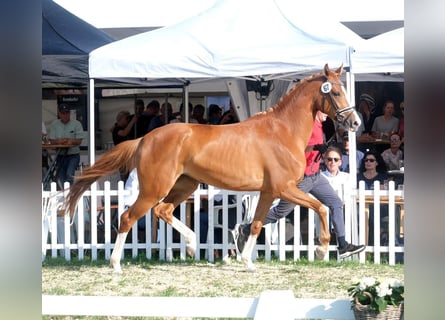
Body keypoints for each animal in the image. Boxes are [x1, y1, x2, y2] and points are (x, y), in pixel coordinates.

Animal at [64, 64, 360, 272]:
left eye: (344, 90)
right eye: (335, 92)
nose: (355, 122)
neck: (282, 132)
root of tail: (145, 138)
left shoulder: (268, 192)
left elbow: (256, 224)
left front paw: (247, 261)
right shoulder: (284, 188)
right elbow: (321, 208)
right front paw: (322, 250)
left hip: (185, 185)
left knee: (163, 211)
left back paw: (191, 246)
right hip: (154, 189)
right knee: (128, 218)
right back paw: (116, 265)